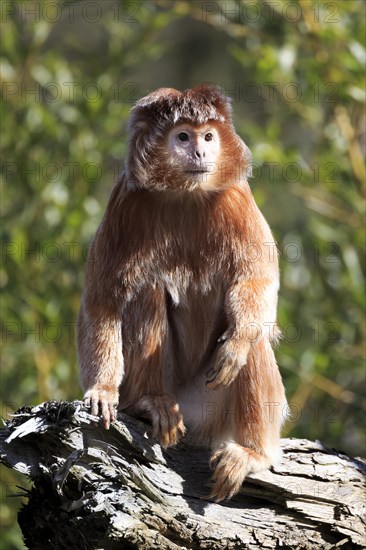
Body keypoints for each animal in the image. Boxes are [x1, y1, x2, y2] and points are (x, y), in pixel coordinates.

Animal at [78, 84, 288, 502]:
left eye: (208, 137)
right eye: (183, 137)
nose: (201, 153)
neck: (185, 192)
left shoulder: (237, 196)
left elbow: (258, 280)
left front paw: (237, 343)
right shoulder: (126, 200)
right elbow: (102, 301)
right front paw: (102, 389)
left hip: (213, 407)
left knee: (252, 336)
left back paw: (252, 453)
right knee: (147, 288)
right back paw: (151, 402)